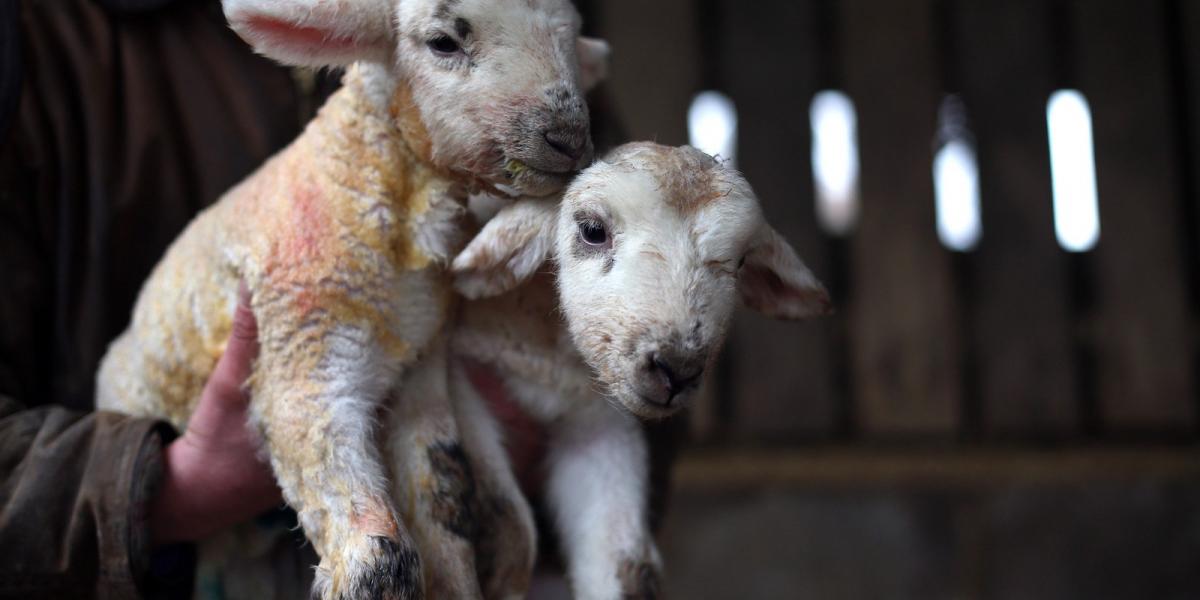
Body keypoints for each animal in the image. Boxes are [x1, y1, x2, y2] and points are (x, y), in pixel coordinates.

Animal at [96, 0, 609, 597]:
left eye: (570, 36)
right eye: (443, 42)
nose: (570, 139)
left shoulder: (418, 372)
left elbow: (446, 501)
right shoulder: (304, 366)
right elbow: (379, 559)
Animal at [446, 141, 830, 600]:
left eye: (739, 263)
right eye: (592, 230)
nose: (677, 370)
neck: (546, 362)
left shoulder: (599, 427)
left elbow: (624, 561)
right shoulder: (463, 379)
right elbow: (509, 526)